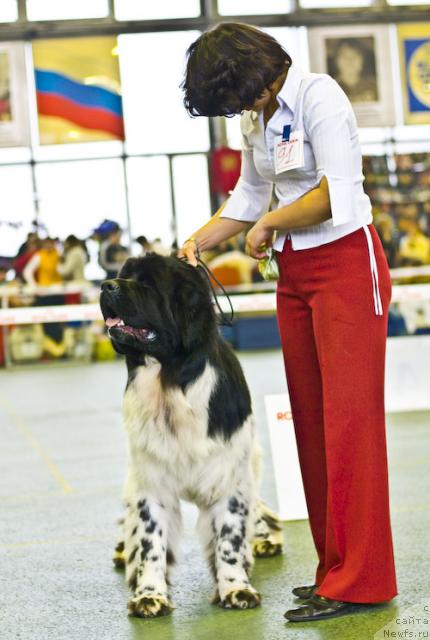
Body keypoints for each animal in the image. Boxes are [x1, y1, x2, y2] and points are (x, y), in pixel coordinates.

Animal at [99, 255, 284, 620]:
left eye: (147, 284)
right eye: (124, 275)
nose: (105, 285)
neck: (170, 382)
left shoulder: (228, 477)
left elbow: (229, 536)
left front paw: (235, 587)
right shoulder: (151, 482)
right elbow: (150, 539)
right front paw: (149, 594)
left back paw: (263, 539)